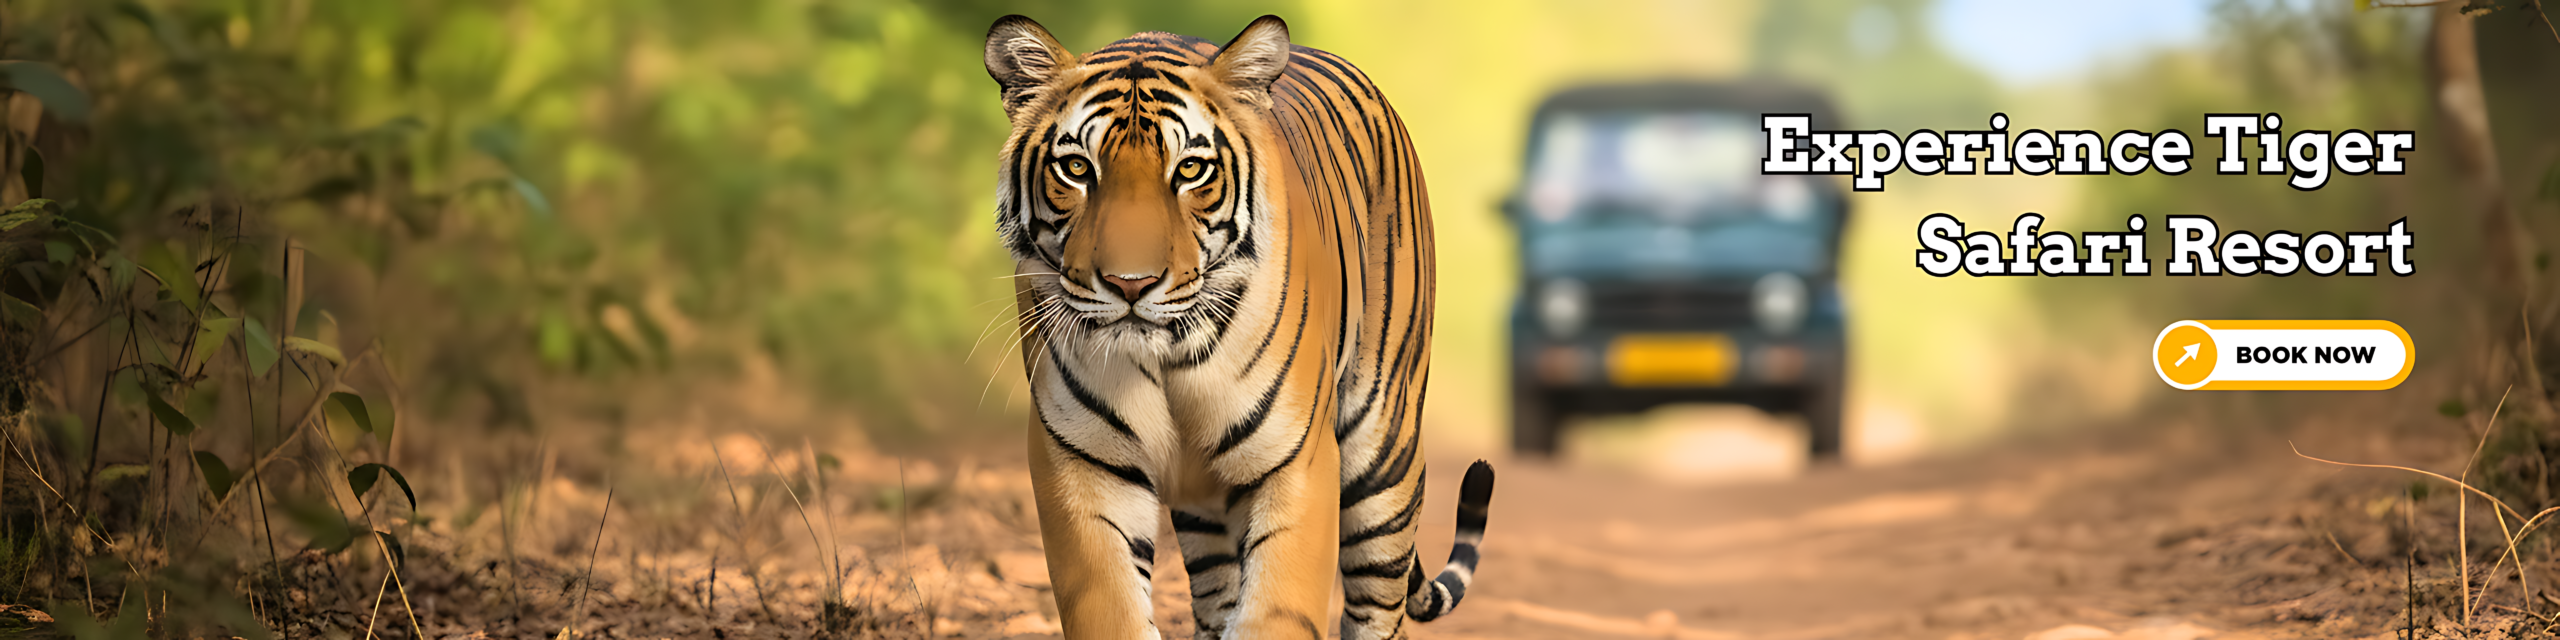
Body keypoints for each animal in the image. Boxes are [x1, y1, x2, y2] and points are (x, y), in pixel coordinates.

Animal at [982, 14, 1496, 640]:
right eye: (1077, 168)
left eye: (1190, 170)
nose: (1131, 284)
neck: (1167, 358)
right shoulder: (1084, 465)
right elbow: (1112, 609)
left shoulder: (1297, 464)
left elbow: (1278, 609)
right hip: (1206, 508)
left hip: (1383, 454)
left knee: (1379, 603)